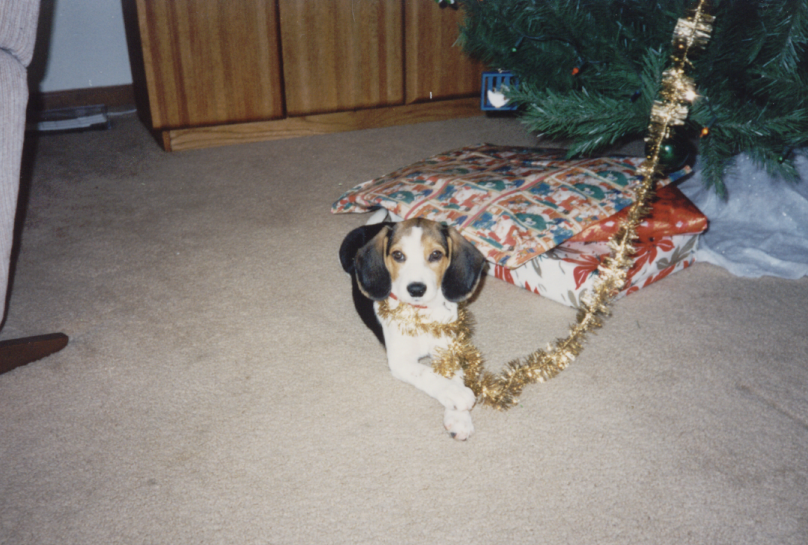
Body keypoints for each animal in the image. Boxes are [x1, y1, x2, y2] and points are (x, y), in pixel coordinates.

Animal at [340, 217, 486, 438]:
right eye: (398, 255)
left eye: (436, 254)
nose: (416, 289)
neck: (422, 315)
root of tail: (378, 224)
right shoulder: (400, 360)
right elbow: (427, 373)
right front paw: (456, 394)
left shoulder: (448, 350)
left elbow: (455, 374)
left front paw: (459, 418)